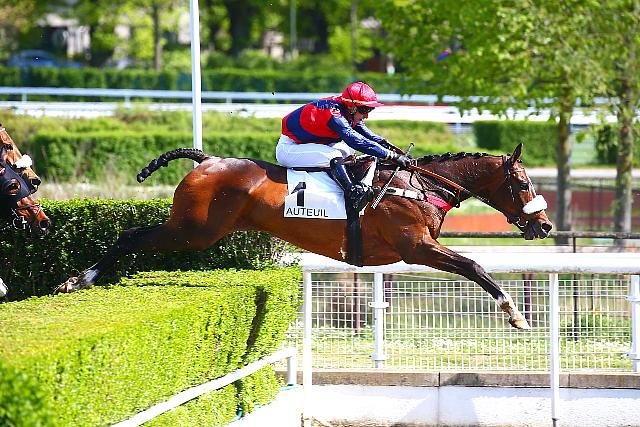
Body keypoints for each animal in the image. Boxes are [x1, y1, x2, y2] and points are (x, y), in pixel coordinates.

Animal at [56, 143, 552, 329]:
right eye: (523, 183)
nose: (545, 225)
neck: (419, 186)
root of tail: (207, 159)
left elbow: (471, 264)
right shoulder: (415, 247)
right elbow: (474, 264)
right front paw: (515, 313)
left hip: (196, 230)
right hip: (193, 231)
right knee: (130, 235)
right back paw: (79, 279)